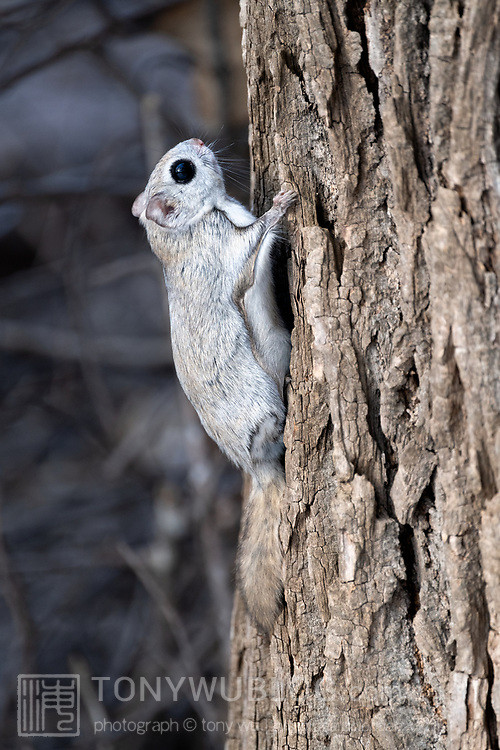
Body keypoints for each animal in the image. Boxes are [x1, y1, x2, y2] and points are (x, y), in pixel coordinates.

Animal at [132, 138, 296, 631]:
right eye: (181, 170)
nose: (199, 142)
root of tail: (256, 468)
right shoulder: (222, 252)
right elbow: (252, 249)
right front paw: (280, 206)